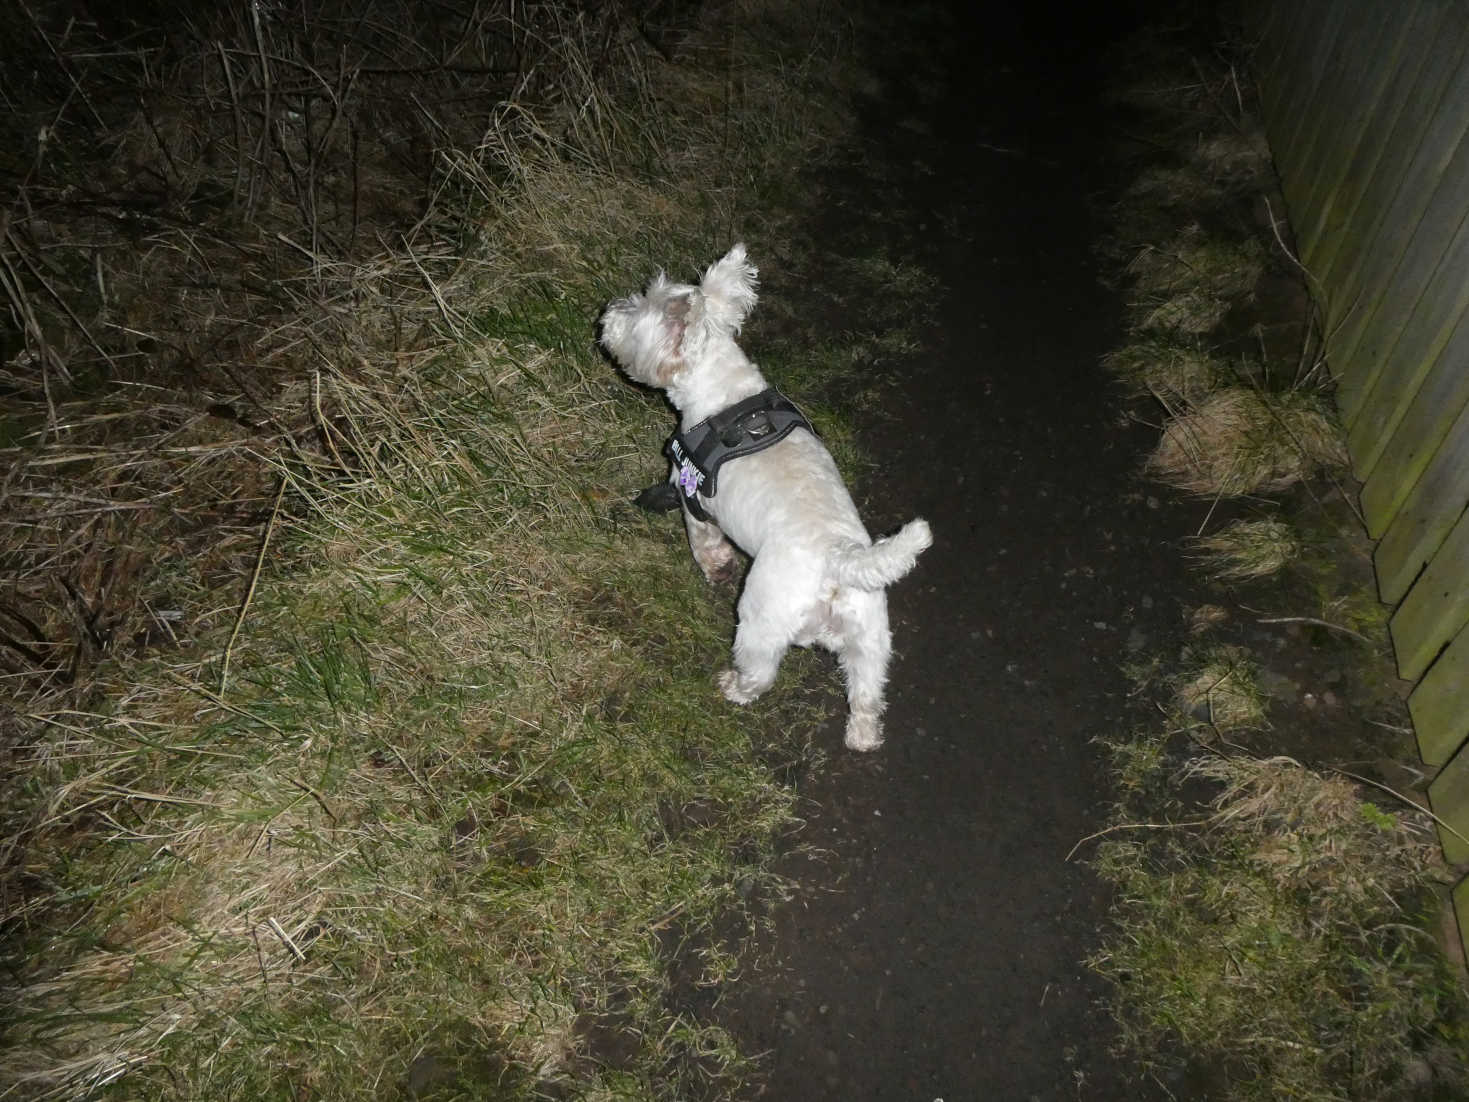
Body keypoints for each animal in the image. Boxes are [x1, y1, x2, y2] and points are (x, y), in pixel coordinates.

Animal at [596, 245, 928, 758]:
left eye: (637, 310)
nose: (607, 312)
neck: (725, 394)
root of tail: (839, 561)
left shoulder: (693, 501)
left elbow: (705, 547)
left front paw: (715, 570)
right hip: (871, 638)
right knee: (867, 696)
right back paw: (862, 737)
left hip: (760, 621)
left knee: (760, 674)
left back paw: (731, 686)